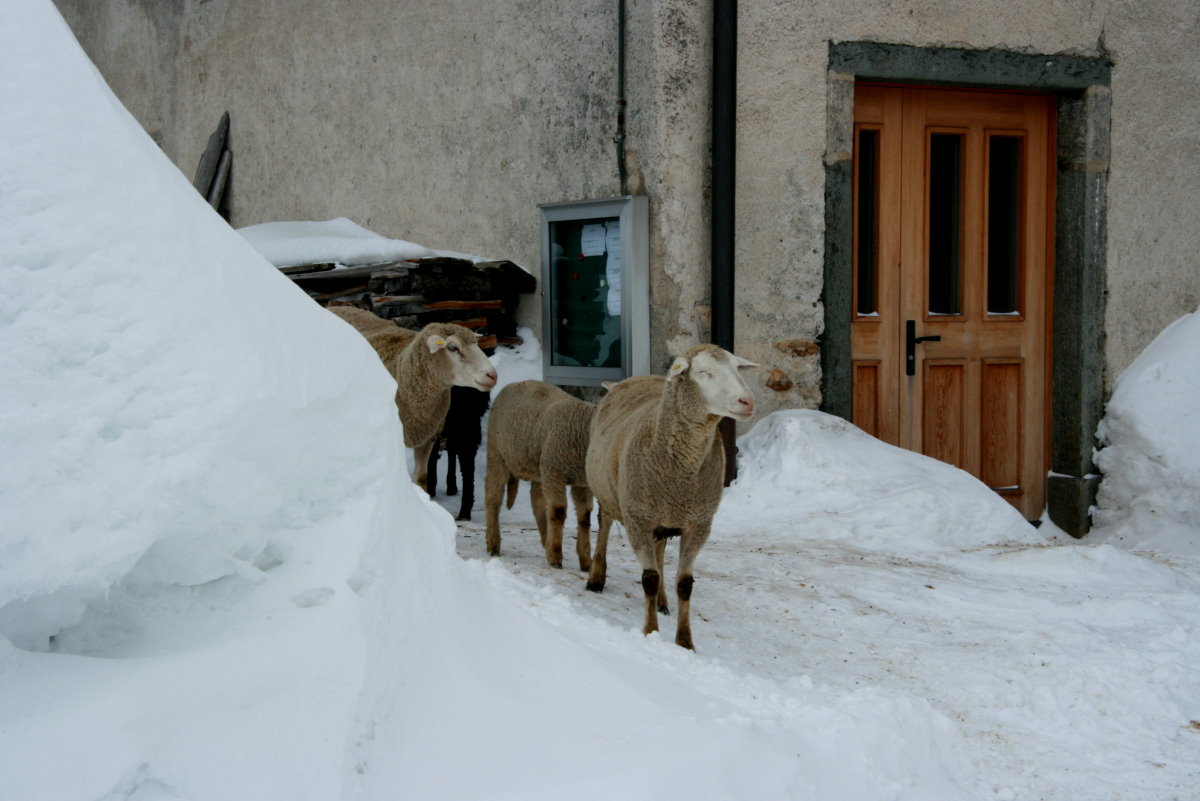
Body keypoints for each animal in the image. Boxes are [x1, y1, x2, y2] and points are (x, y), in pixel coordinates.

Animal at [328, 304, 496, 489]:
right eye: (452, 347)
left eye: (476, 344)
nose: (492, 375)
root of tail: (337, 306)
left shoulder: (427, 436)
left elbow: (422, 477)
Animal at [482, 381, 595, 568]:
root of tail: (513, 384)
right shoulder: (555, 473)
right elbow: (558, 511)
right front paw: (556, 556)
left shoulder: (582, 483)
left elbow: (584, 517)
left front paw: (586, 561)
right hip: (497, 453)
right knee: (493, 497)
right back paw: (493, 543)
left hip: (539, 466)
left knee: (537, 501)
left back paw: (546, 540)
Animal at [583, 345, 758, 652]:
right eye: (703, 372)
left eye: (737, 368)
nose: (747, 402)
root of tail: (628, 380)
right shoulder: (638, 520)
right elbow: (649, 579)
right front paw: (650, 632)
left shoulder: (698, 524)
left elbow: (685, 583)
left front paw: (685, 641)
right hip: (609, 491)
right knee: (603, 526)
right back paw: (596, 577)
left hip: (660, 515)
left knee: (660, 549)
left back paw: (663, 603)